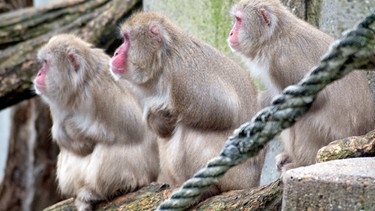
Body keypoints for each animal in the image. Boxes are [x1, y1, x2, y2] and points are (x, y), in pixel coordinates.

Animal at [33, 33, 159, 210]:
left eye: (45, 63)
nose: (38, 74)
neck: (78, 87)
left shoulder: (102, 90)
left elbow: (133, 127)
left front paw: (74, 128)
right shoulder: (57, 103)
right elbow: (65, 140)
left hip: (141, 172)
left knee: (110, 146)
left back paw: (104, 191)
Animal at [109, 11, 268, 196]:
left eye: (127, 39)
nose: (116, 52)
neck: (162, 61)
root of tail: (254, 180)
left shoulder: (183, 75)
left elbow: (224, 108)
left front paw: (170, 111)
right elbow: (161, 128)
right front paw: (161, 116)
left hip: (234, 174)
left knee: (189, 128)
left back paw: (206, 189)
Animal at [229, 0, 375, 171]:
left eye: (239, 20)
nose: (230, 33)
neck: (273, 38)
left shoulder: (285, 60)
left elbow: (316, 98)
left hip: (330, 137)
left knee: (305, 118)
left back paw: (302, 163)